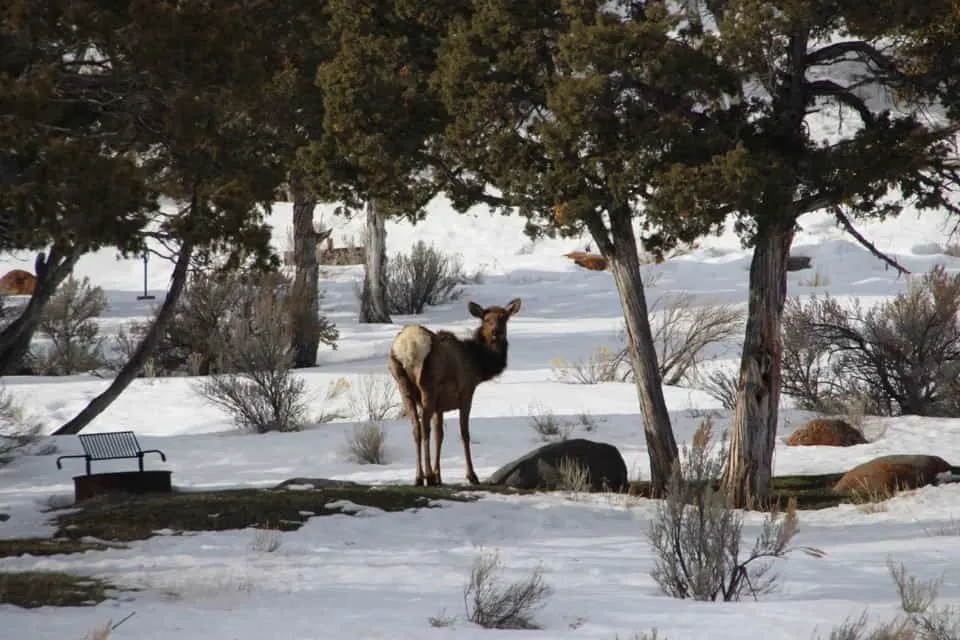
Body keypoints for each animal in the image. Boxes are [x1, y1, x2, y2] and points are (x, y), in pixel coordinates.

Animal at [388, 298, 524, 488]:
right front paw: (471, 475)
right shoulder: (466, 391)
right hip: (428, 384)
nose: (496, 332)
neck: (480, 364)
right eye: (486, 319)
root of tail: (408, 346)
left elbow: (440, 435)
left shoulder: (440, 406)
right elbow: (464, 433)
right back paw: (427, 476)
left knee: (416, 427)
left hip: (403, 385)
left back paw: (418, 477)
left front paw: (439, 475)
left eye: (504, 318)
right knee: (424, 427)